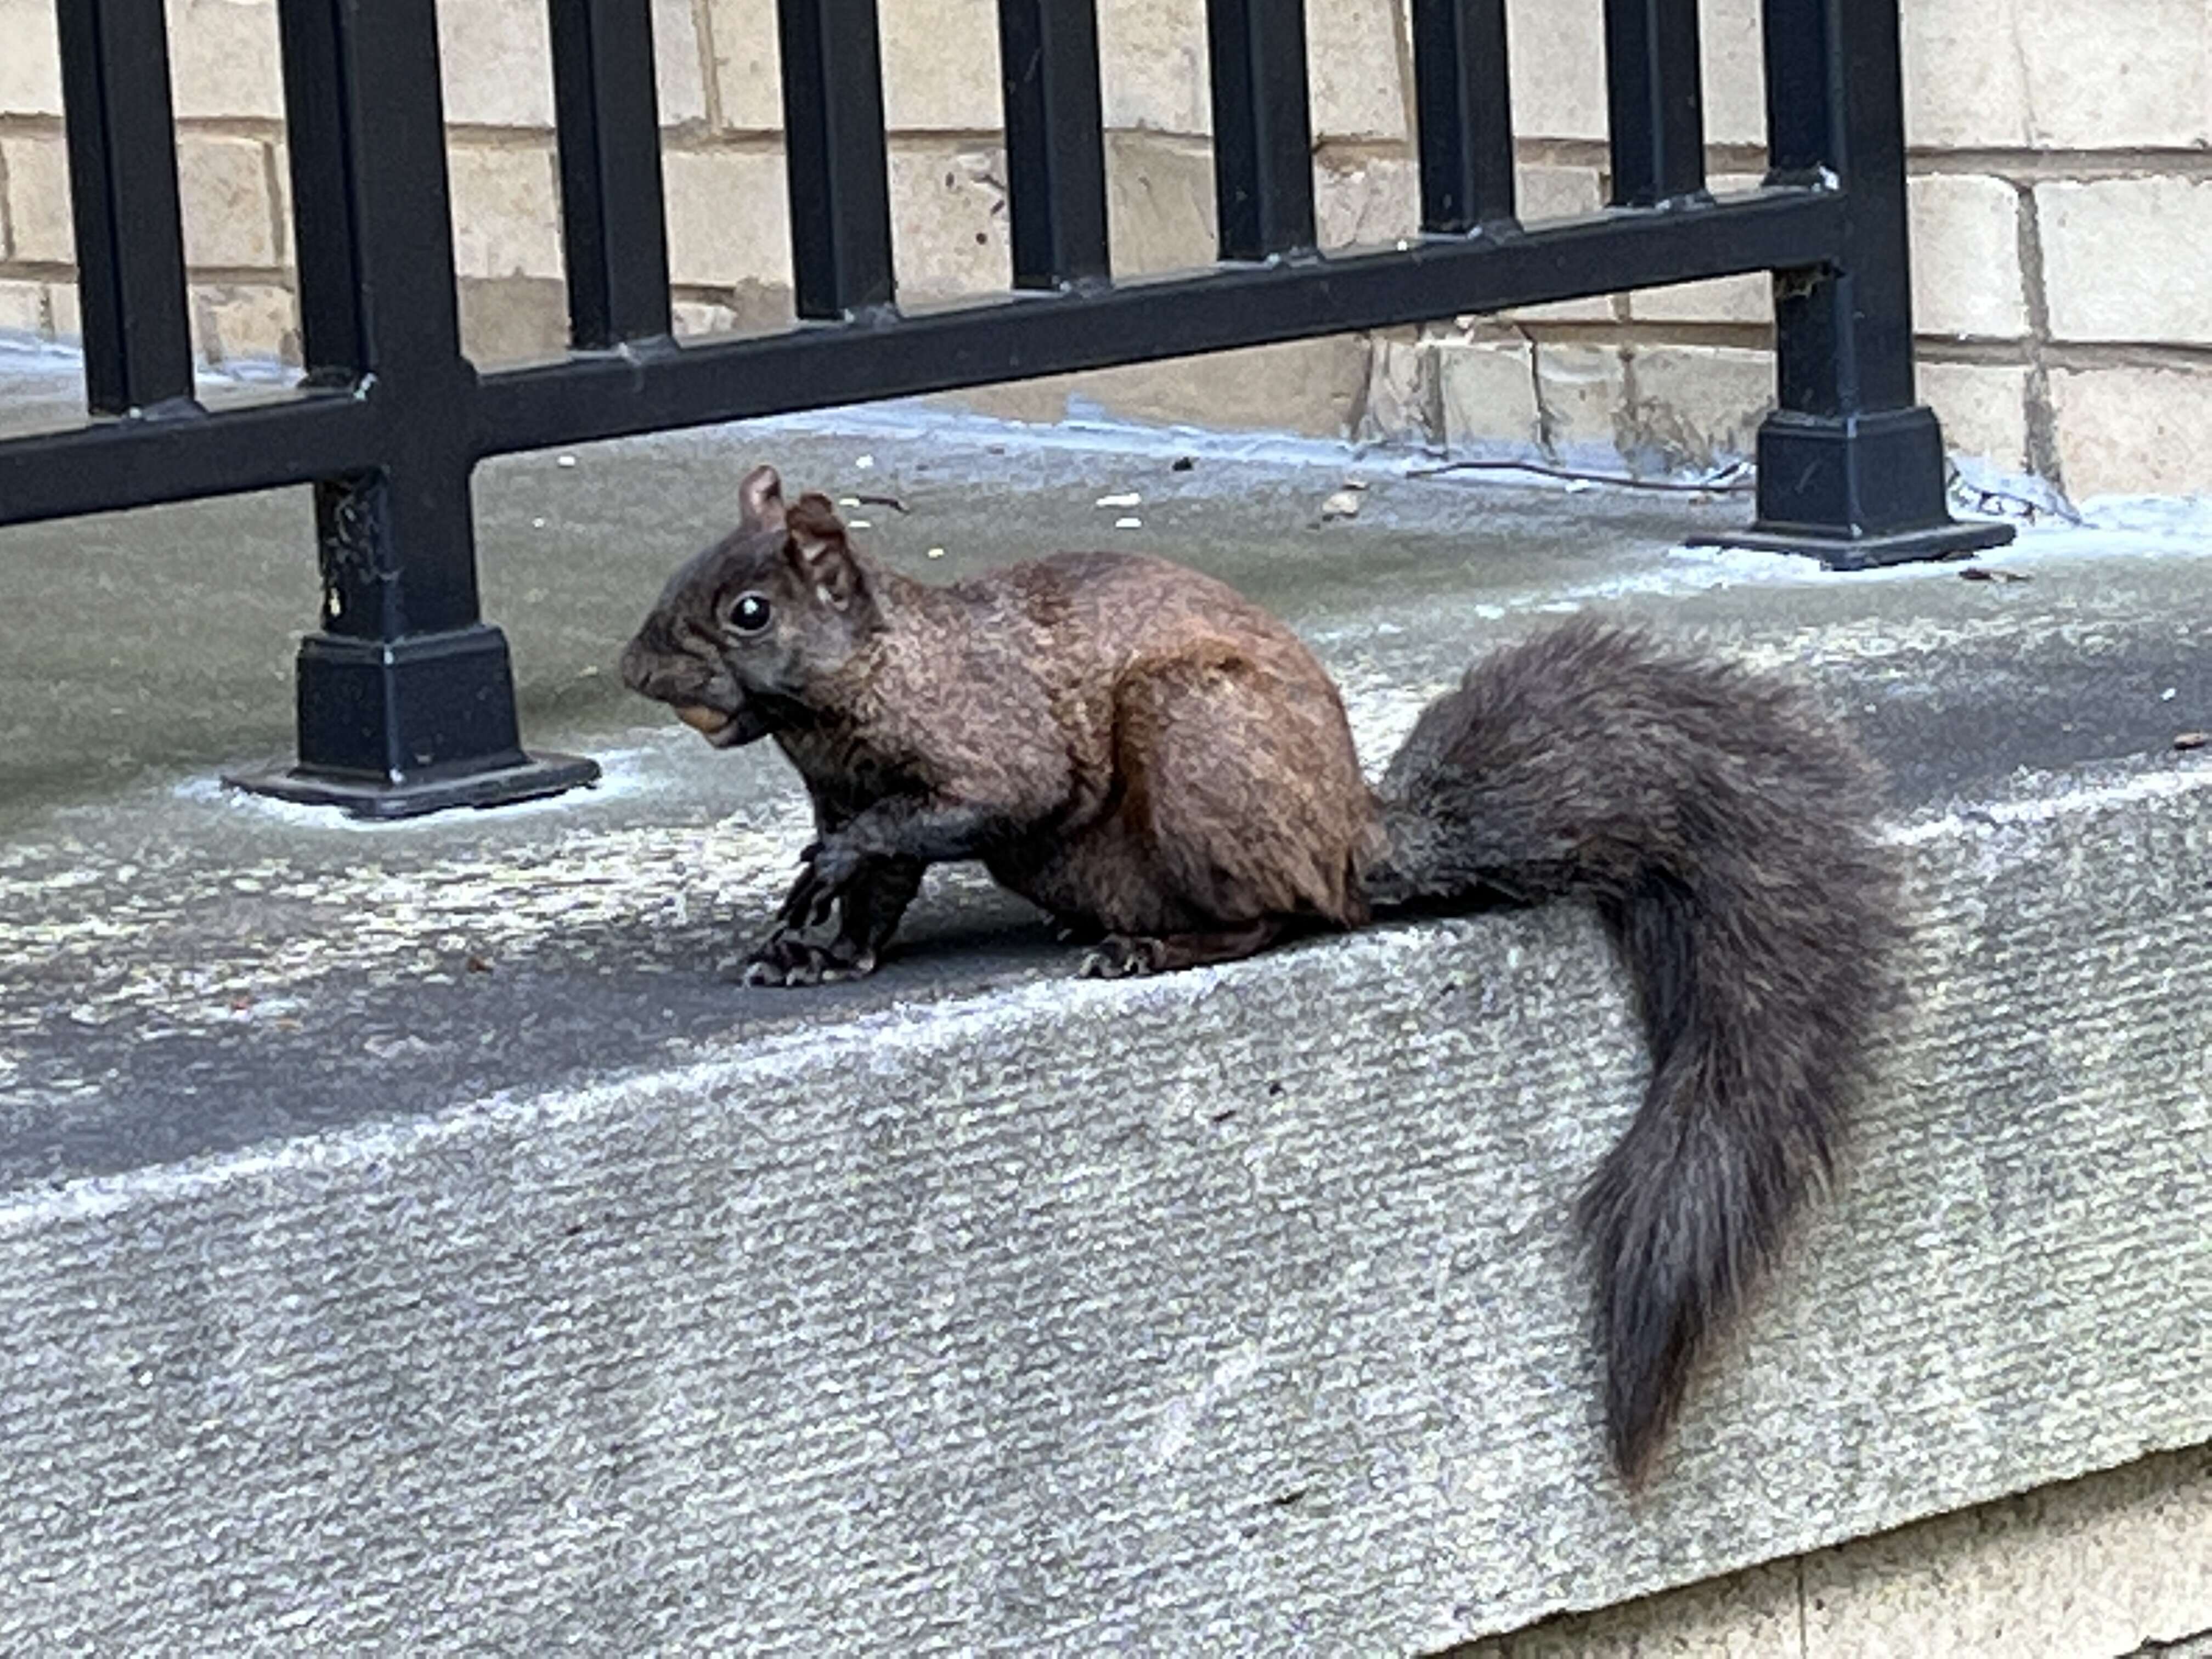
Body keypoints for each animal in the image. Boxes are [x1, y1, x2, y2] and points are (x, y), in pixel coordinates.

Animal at [619, 464, 1902, 1477]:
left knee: (1282, 916)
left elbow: (968, 808)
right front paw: (805, 949)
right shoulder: (843, 784)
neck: (858, 694)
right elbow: (872, 901)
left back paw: (1158, 947)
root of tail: (1351, 840)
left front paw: (824, 882)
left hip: (1197, 738)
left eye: (747, 611)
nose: (635, 672)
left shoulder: (984, 745)